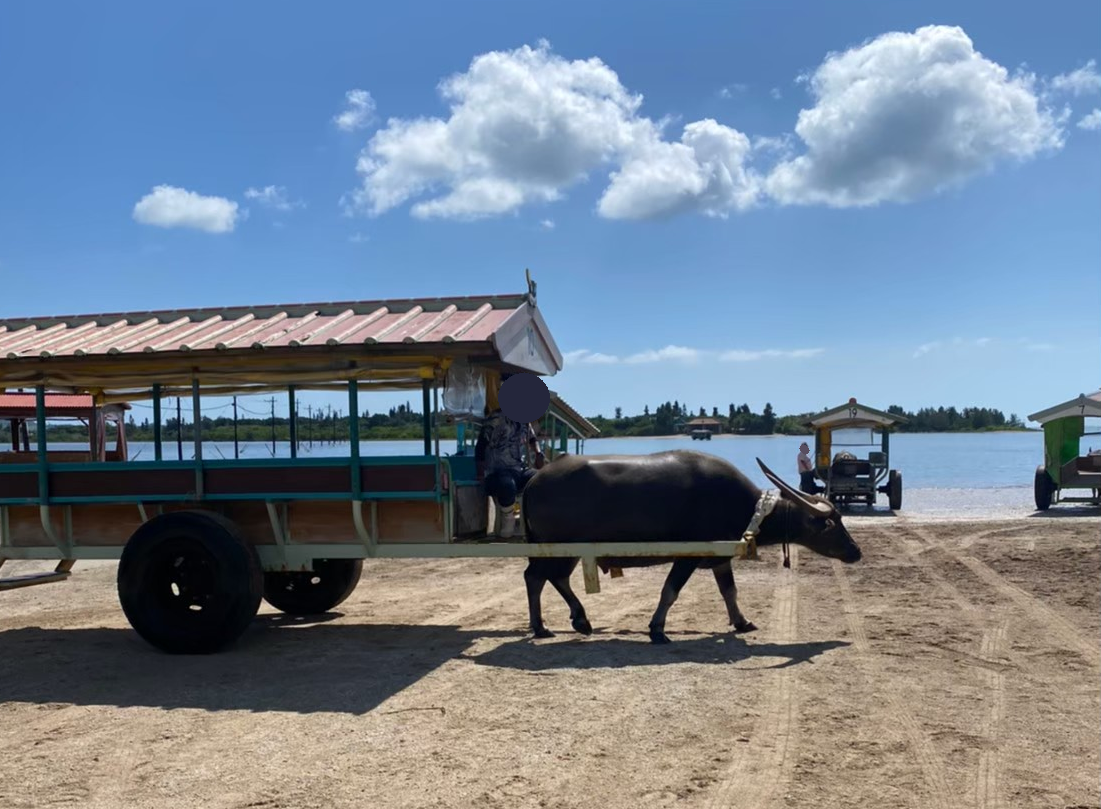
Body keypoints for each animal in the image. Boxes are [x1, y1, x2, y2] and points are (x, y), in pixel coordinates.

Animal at [515, 449, 858, 647]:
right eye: (832, 524)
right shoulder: (687, 556)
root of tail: (533, 481)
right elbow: (670, 591)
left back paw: (577, 621)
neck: (745, 508)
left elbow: (729, 591)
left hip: (565, 551)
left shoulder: (719, 557)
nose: (856, 552)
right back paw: (543, 626)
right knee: (536, 577)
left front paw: (742, 621)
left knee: (551, 578)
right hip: (558, 547)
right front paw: (657, 629)